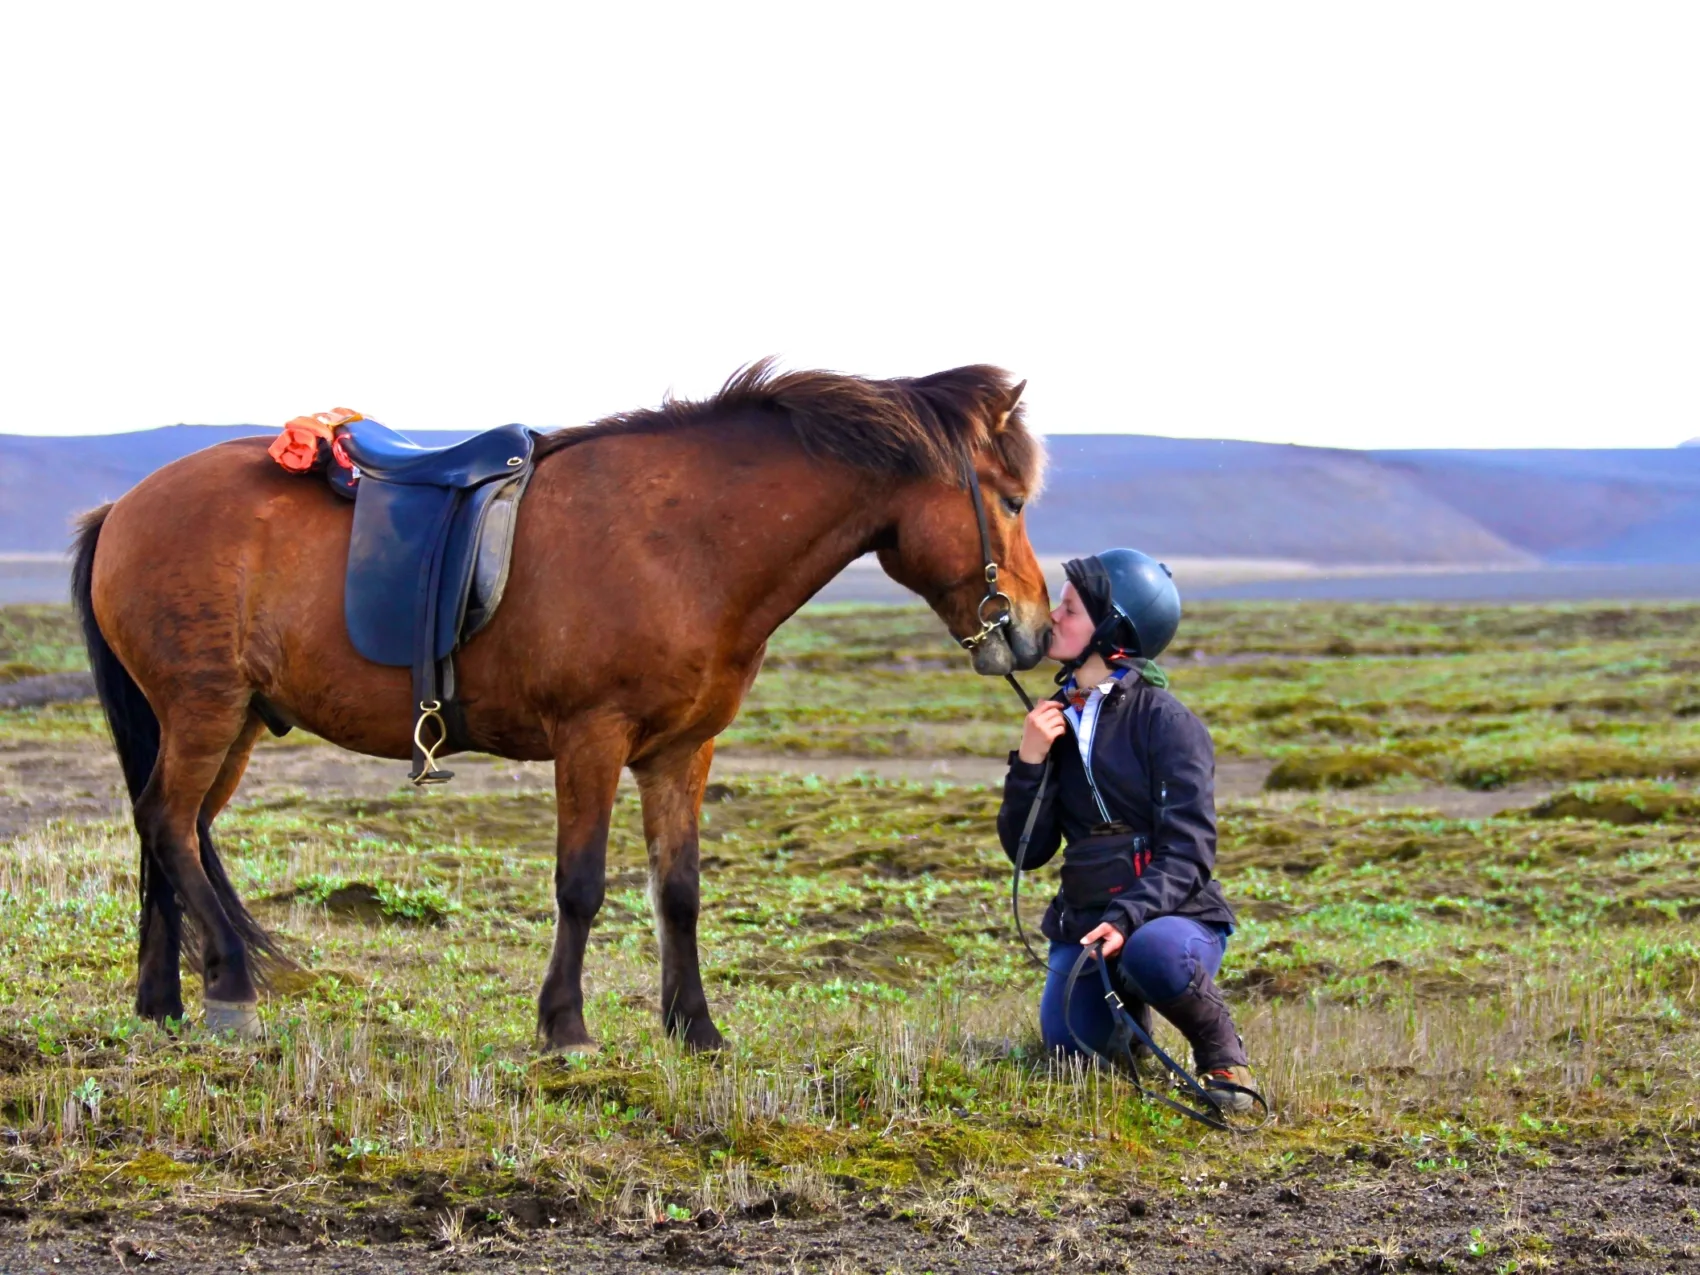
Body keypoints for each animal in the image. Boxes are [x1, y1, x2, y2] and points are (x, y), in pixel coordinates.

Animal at [73, 363, 1054, 1054]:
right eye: (1010, 500)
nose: (1037, 631)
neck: (686, 543)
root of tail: (123, 505)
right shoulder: (592, 737)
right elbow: (580, 884)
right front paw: (566, 1027)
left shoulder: (681, 751)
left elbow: (678, 890)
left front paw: (695, 1028)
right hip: (205, 708)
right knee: (170, 824)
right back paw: (231, 988)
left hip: (230, 718)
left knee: (170, 830)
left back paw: (164, 1002)